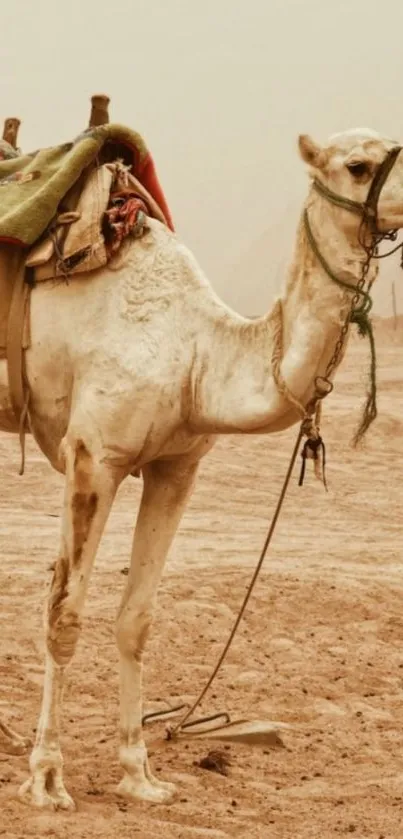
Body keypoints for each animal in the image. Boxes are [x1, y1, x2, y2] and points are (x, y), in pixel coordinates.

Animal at [0, 121, 403, 812]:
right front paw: (48, 779)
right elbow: (63, 614)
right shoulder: (93, 456)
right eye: (356, 165)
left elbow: (136, 619)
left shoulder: (177, 467)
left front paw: (139, 775)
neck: (197, 354)